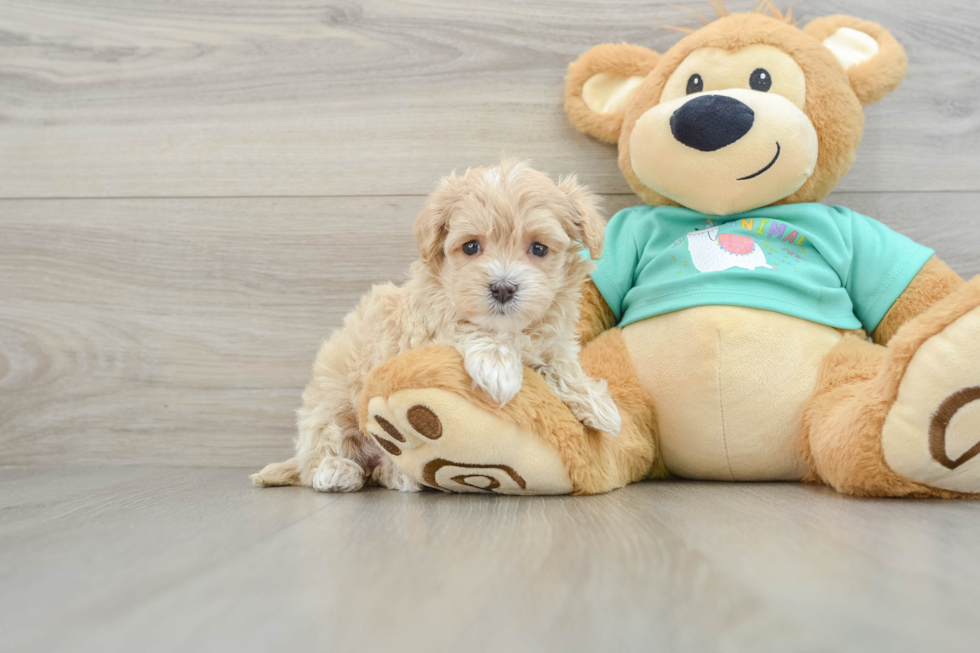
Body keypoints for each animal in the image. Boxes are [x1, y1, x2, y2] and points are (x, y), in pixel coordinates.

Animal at [253, 160, 620, 492]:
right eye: (471, 246)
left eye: (539, 248)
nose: (503, 288)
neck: (509, 329)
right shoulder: (428, 326)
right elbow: (465, 327)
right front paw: (499, 367)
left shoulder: (551, 340)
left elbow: (560, 364)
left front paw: (597, 403)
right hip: (332, 405)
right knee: (321, 451)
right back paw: (336, 471)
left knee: (379, 469)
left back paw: (398, 476)